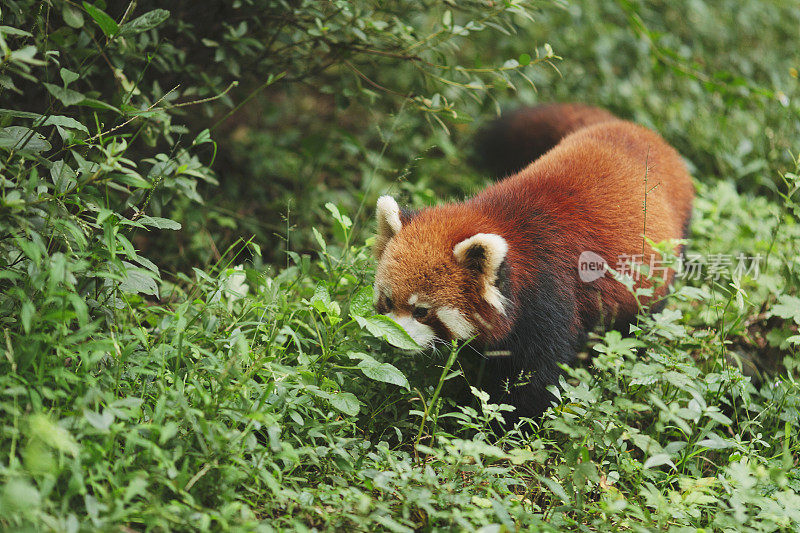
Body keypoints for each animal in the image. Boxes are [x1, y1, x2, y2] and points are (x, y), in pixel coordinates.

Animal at [376, 103, 692, 420]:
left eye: (422, 312)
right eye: (388, 301)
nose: (392, 339)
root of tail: (637, 129)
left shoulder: (550, 297)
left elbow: (534, 381)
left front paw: (507, 423)